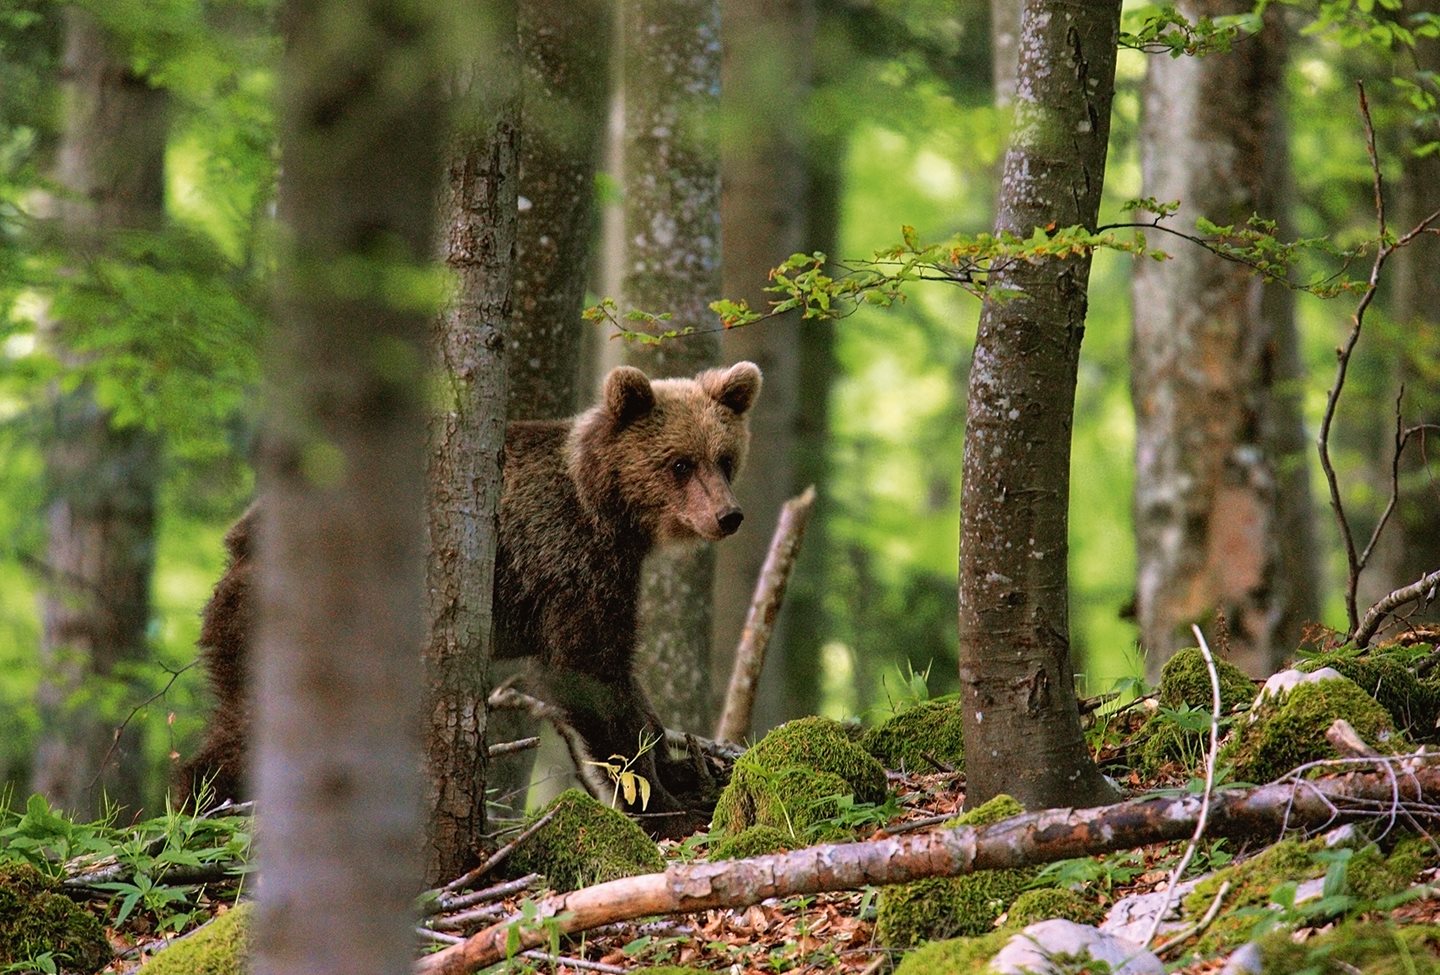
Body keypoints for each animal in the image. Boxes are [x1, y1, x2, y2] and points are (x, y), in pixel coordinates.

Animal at [180, 361, 766, 823]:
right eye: (680, 463)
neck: (604, 507)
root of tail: (239, 538)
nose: (728, 515)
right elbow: (589, 671)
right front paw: (661, 801)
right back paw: (206, 805)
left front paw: (682, 771)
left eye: (725, 458)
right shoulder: (569, 558)